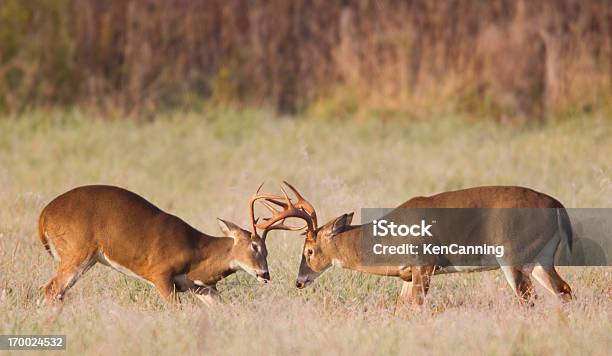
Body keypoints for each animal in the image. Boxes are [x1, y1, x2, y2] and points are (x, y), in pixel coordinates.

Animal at [37, 185, 290, 304]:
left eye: (267, 250)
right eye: (254, 246)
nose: (265, 274)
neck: (197, 253)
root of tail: (44, 215)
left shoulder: (201, 287)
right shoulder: (160, 274)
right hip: (76, 252)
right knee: (51, 289)